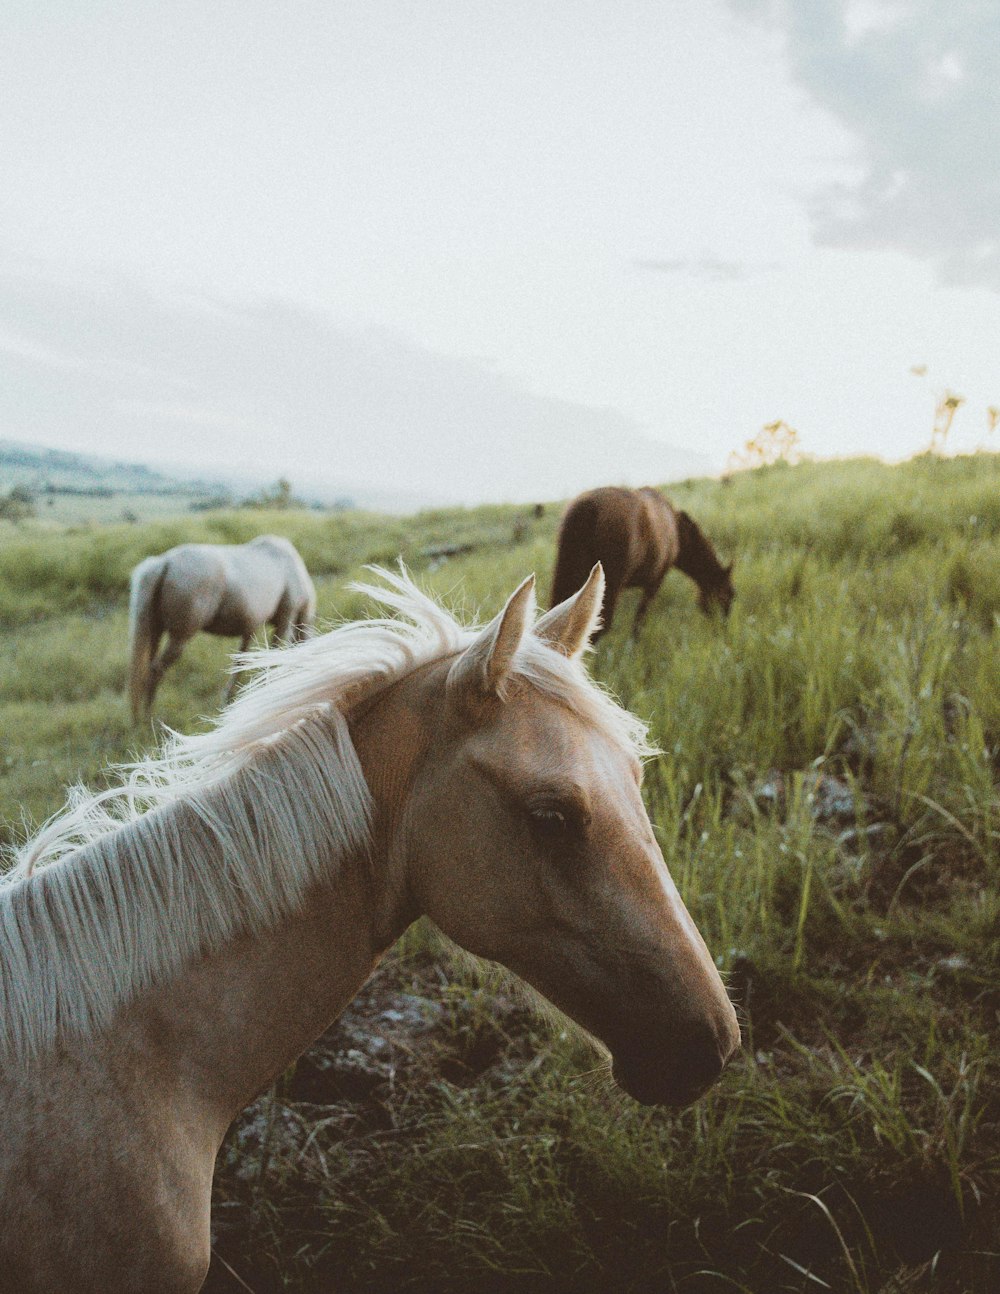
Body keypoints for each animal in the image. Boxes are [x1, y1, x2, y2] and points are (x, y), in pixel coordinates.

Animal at [128, 533, 315, 724]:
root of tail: (164, 562)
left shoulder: (250, 629)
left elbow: (241, 662)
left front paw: (229, 700)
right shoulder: (285, 620)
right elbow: (272, 658)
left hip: (155, 632)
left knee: (147, 669)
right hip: (179, 638)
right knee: (156, 670)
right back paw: (148, 719)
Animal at [551, 486, 729, 636]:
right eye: (729, 595)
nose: (723, 625)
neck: (676, 527)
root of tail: (588, 506)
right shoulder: (655, 582)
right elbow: (640, 620)